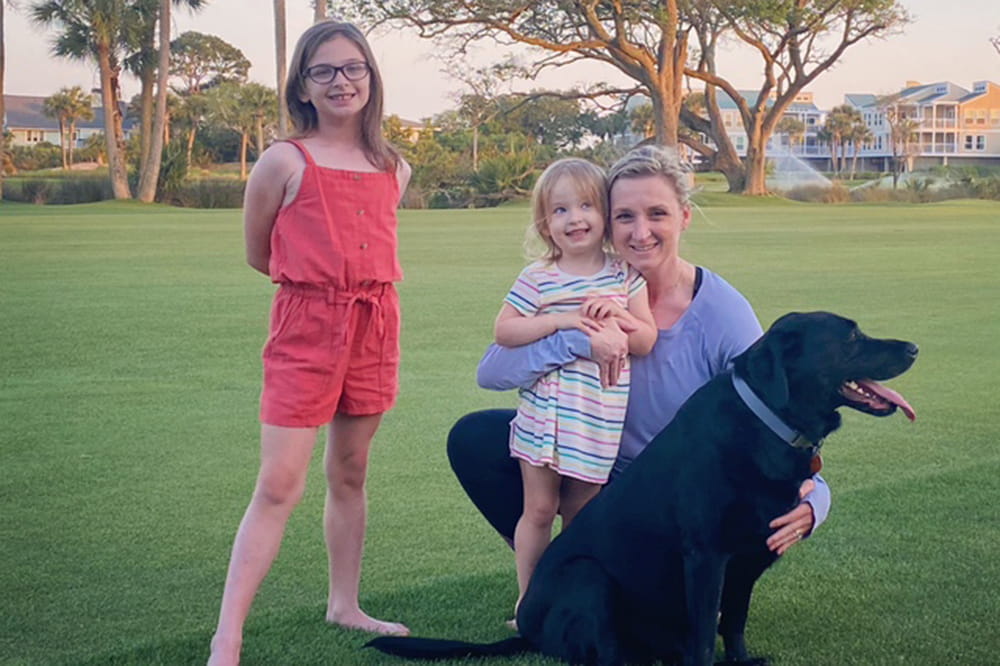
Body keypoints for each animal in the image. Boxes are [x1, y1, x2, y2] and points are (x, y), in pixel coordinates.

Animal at [368, 312, 916, 664]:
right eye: (852, 337)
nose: (913, 347)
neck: (767, 422)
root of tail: (529, 629)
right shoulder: (705, 555)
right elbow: (704, 635)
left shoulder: (747, 557)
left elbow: (734, 622)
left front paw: (740, 661)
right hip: (588, 578)